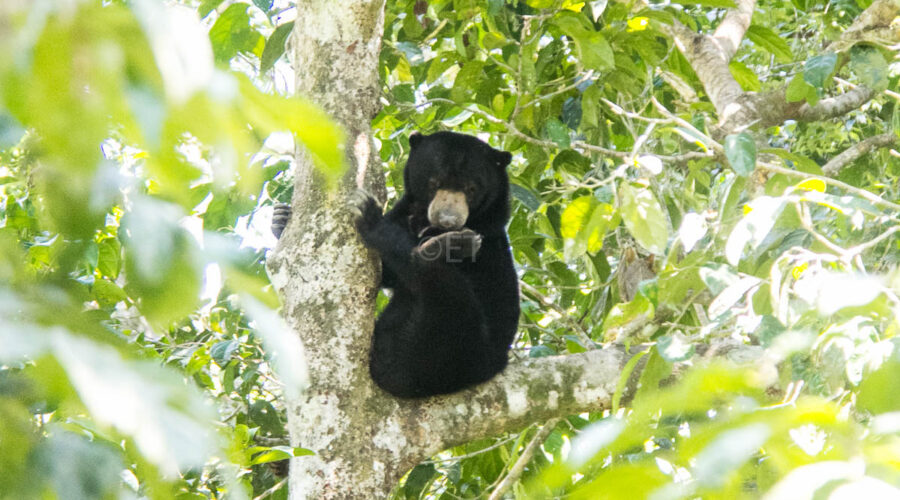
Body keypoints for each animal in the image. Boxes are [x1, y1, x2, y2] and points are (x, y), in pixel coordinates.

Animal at [350, 131, 520, 398]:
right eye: (434, 182)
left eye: (471, 189)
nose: (448, 220)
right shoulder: (405, 212)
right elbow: (387, 273)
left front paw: (369, 214)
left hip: (453, 344)